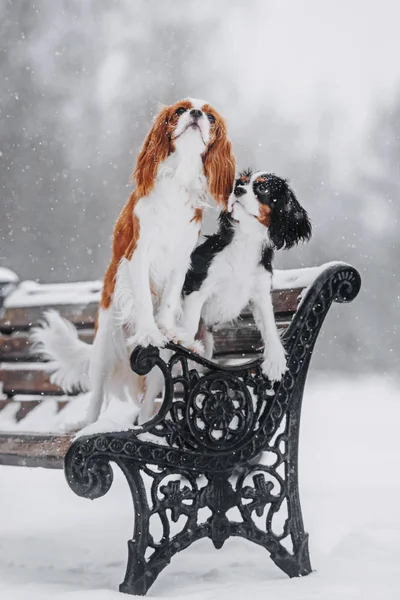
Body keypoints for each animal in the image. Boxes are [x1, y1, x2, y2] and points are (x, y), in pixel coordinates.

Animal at [33, 98, 238, 428]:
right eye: (180, 111)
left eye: (210, 118)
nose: (195, 114)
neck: (178, 179)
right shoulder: (138, 255)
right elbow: (143, 299)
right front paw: (149, 332)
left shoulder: (180, 262)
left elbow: (168, 303)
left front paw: (169, 332)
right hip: (104, 344)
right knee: (96, 394)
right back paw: (87, 425)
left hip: (158, 366)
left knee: (150, 395)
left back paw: (143, 425)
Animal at [138, 169, 312, 422]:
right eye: (239, 184)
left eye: (262, 188)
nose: (237, 191)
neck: (246, 241)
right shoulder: (198, 288)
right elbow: (189, 324)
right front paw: (186, 345)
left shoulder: (260, 293)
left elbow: (269, 326)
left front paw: (276, 361)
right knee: (150, 396)